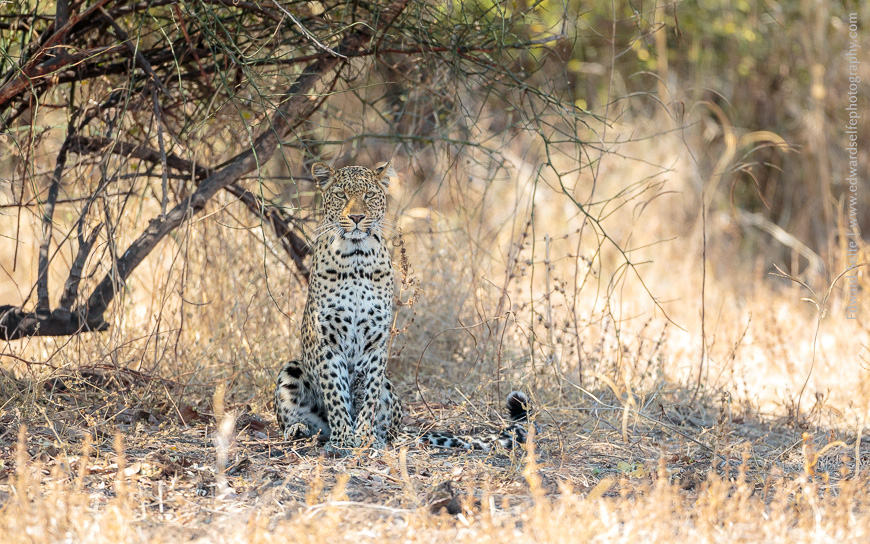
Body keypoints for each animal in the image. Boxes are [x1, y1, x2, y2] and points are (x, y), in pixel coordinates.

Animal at [274, 161, 535, 453]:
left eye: (369, 196)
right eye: (341, 195)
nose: (356, 217)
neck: (355, 258)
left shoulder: (375, 342)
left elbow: (367, 396)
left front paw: (363, 437)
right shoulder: (327, 339)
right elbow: (335, 392)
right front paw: (343, 438)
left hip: (390, 392)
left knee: (386, 422)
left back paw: (377, 437)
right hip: (291, 368)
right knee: (305, 419)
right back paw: (301, 430)